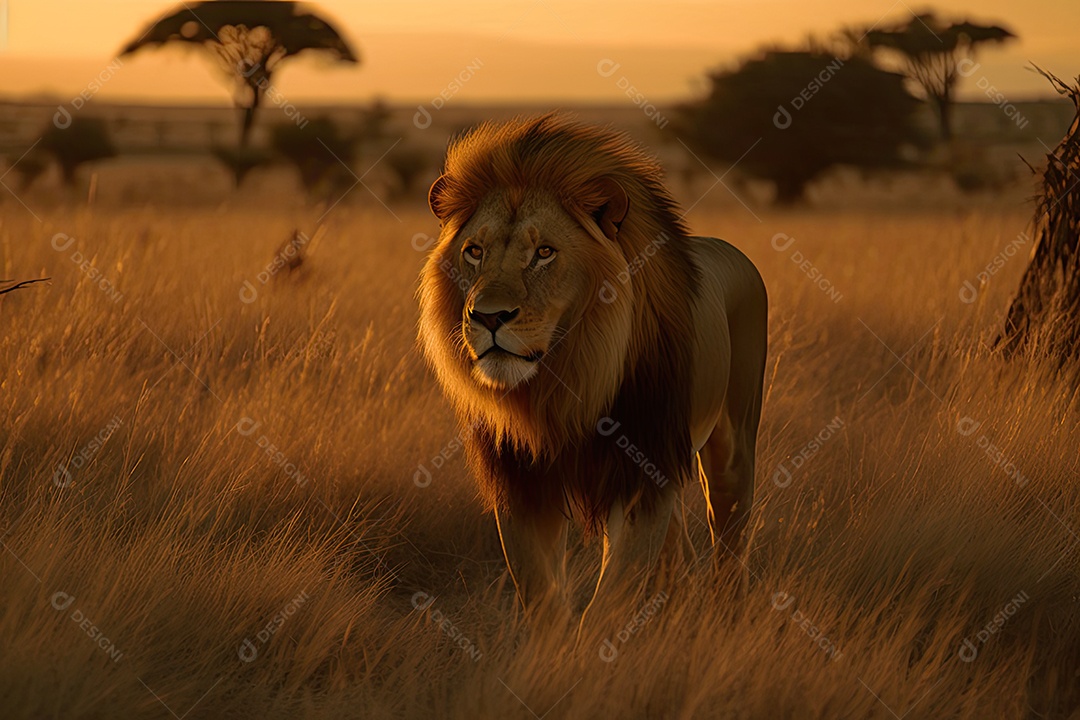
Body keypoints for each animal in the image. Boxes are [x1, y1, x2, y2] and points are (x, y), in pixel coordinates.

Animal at [416, 114, 767, 629]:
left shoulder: (640, 473)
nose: (488, 317)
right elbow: (542, 595)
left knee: (729, 538)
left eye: (544, 252)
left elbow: (611, 601)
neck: (565, 383)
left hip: (731, 444)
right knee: (678, 550)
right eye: (474, 251)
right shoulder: (522, 482)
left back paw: (725, 619)